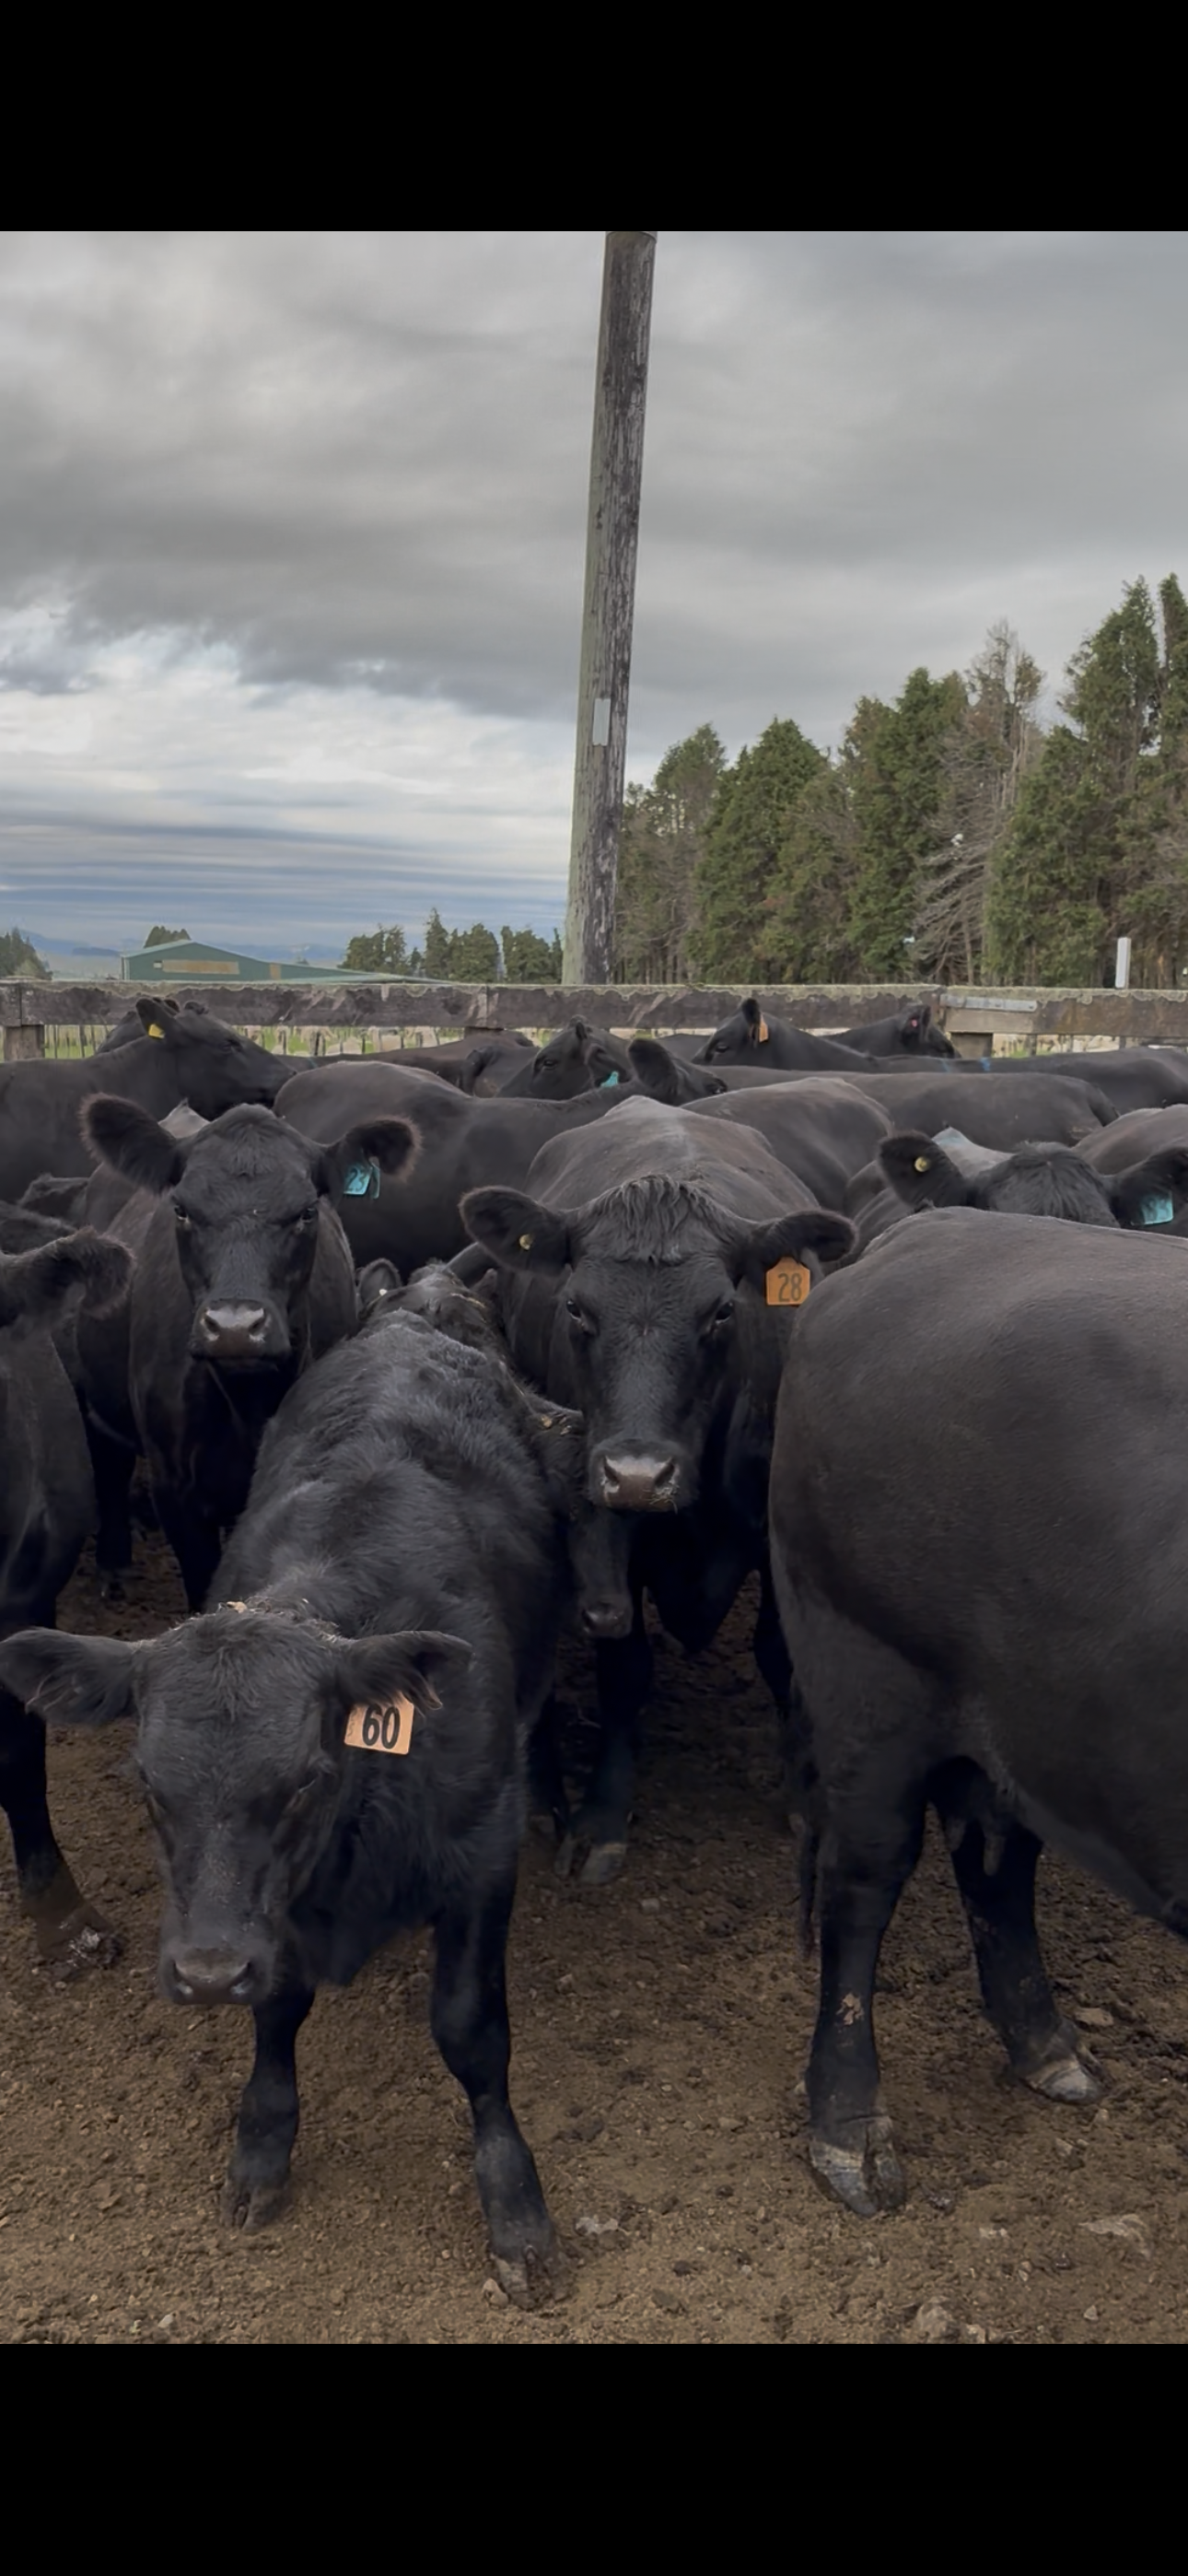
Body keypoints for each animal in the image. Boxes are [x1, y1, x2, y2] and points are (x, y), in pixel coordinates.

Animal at [0, 1309, 574, 2300]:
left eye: (306, 1777)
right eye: (146, 1782)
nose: (203, 1975)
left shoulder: (483, 1849)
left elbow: (471, 2031)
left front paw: (515, 2207)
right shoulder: (267, 1922)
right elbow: (275, 2008)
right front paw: (262, 2147)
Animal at [75, 1098, 416, 1608]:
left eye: (307, 1212)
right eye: (181, 1210)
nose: (235, 1328)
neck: (246, 1405)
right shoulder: (174, 1485)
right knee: (109, 1465)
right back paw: (114, 1567)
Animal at [461, 1098, 853, 1879]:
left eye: (722, 1311)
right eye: (577, 1308)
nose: (639, 1474)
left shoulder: (778, 1535)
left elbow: (781, 1656)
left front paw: (803, 1795)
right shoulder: (608, 1528)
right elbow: (625, 1669)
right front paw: (603, 1816)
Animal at [768, 1208, 1188, 2218]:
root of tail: (929, 1229)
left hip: (1025, 1710)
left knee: (993, 1854)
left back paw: (1046, 2047)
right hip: (868, 1675)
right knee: (865, 1883)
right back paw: (848, 2130)